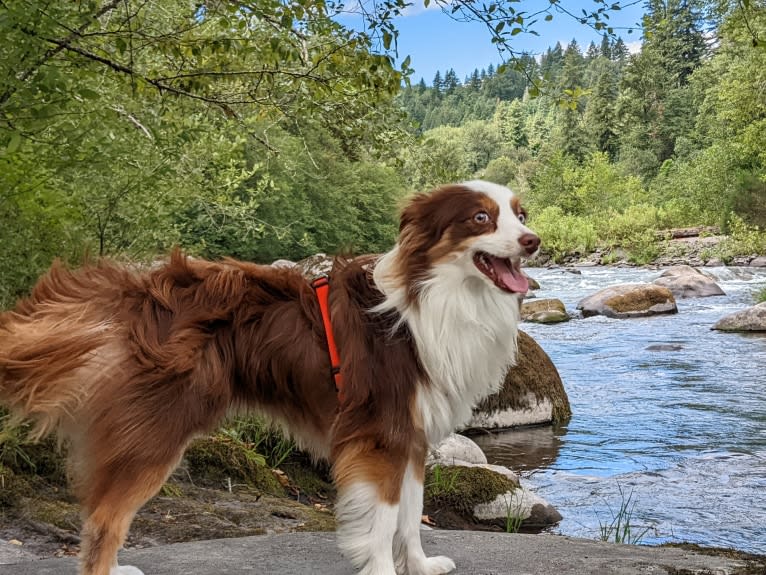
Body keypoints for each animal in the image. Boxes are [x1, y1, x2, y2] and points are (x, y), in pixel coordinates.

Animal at [0, 181, 540, 575]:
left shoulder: (410, 436)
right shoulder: (379, 436)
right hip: (157, 432)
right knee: (104, 519)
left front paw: (422, 567)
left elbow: (410, 517)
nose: (534, 241)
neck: (432, 295)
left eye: (521, 215)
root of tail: (142, 292)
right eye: (480, 218)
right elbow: (384, 520)